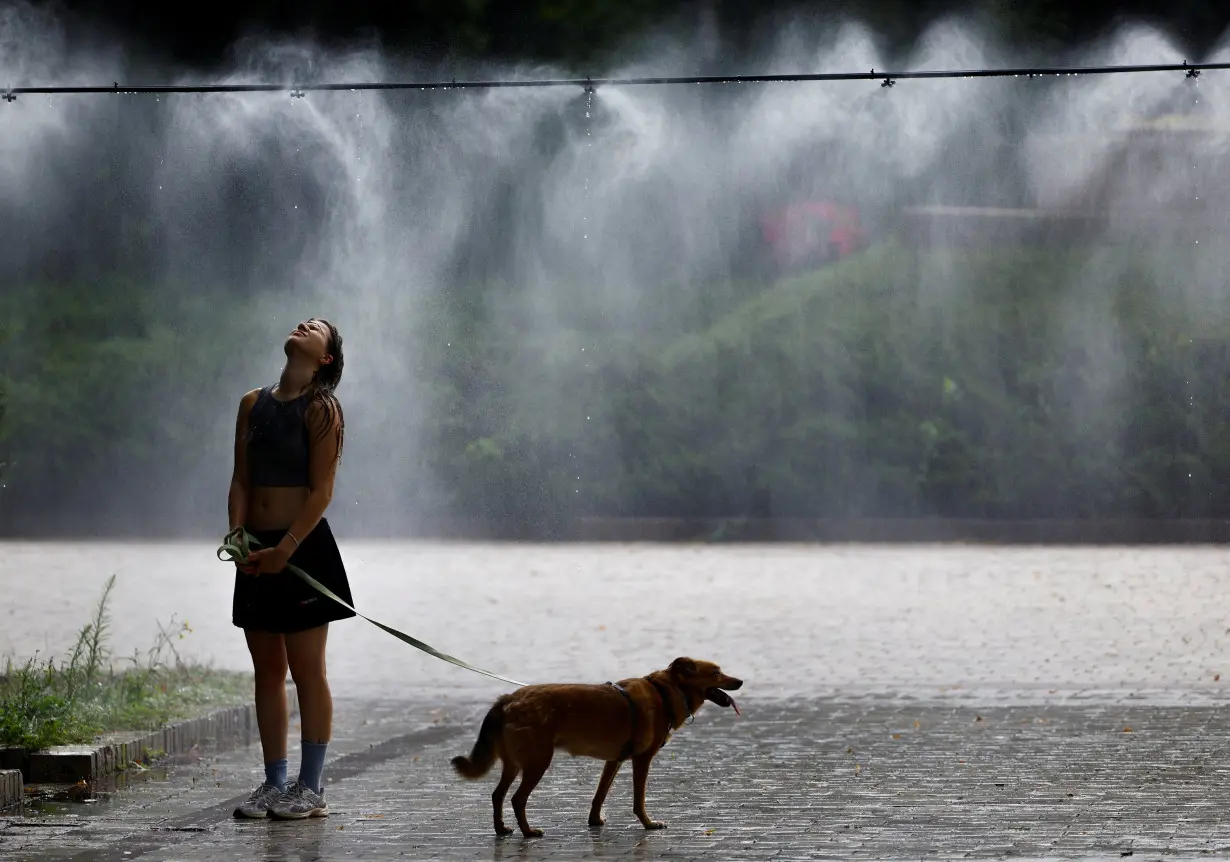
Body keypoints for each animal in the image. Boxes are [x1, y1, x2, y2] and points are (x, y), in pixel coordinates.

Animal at [450, 659, 738, 836]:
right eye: (716, 672)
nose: (741, 682)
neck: (665, 692)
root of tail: (508, 699)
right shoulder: (642, 761)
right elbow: (639, 800)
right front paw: (648, 824)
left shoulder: (614, 761)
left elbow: (600, 794)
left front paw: (594, 821)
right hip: (537, 762)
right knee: (516, 799)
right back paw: (528, 832)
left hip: (513, 764)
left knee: (497, 795)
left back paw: (501, 829)